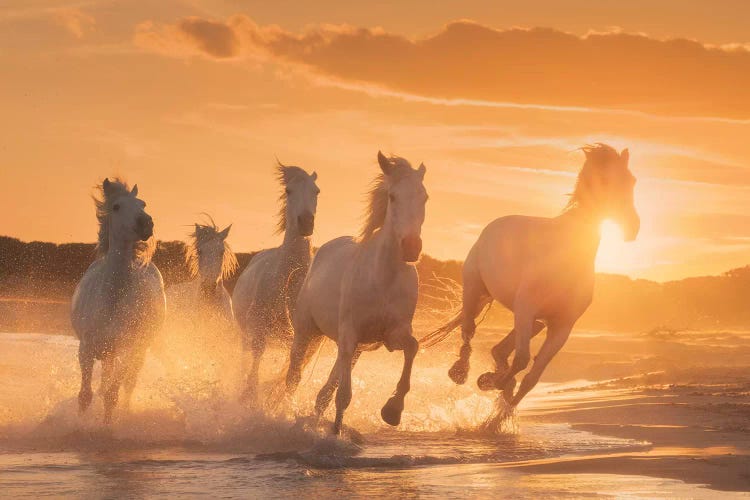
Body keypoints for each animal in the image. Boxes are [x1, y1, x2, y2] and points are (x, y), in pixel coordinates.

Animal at [71, 180, 166, 422]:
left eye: (142, 203)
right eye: (116, 206)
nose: (145, 223)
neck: (112, 299)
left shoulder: (128, 350)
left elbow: (112, 395)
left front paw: (107, 427)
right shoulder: (86, 350)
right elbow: (85, 396)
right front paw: (79, 425)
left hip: (136, 352)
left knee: (127, 385)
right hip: (107, 353)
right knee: (105, 380)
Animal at [232, 164, 320, 402]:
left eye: (316, 191)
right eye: (288, 191)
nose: (306, 223)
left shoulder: (306, 338)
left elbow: (294, 374)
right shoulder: (258, 327)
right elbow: (256, 359)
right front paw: (249, 396)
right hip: (244, 332)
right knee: (245, 358)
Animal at [288, 151, 428, 434]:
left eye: (425, 197)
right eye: (393, 196)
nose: (411, 248)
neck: (383, 279)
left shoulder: (392, 335)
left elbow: (413, 347)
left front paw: (393, 410)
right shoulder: (349, 334)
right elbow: (344, 395)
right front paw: (335, 434)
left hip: (355, 349)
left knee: (324, 392)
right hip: (306, 333)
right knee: (293, 379)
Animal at [424, 144, 640, 406]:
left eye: (631, 181)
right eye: (604, 180)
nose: (632, 228)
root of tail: (492, 227)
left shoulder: (562, 326)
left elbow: (531, 378)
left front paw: (500, 404)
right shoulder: (526, 308)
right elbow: (522, 360)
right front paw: (490, 382)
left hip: (528, 317)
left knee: (507, 343)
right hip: (476, 291)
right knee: (468, 329)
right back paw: (460, 372)